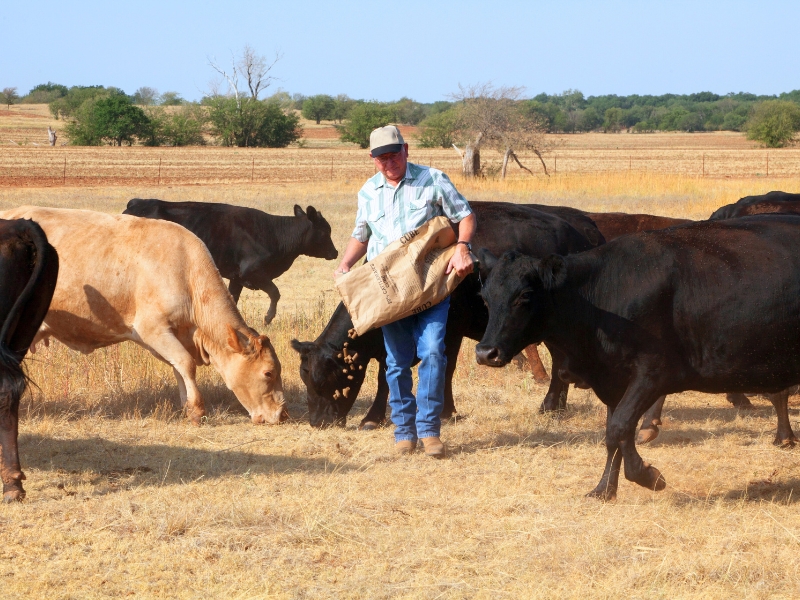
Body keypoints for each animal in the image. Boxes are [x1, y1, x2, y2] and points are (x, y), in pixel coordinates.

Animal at [0, 209, 286, 424]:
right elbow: (186, 364)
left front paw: (187, 406)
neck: (186, 272)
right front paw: (197, 410)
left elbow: (178, 367)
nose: (283, 414)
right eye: (268, 373)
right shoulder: (153, 329)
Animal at [122, 200, 338, 324]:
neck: (274, 233)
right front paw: (268, 318)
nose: (335, 252)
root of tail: (135, 204)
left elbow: (233, 299)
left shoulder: (237, 278)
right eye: (325, 231)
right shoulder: (253, 272)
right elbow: (275, 293)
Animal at [290, 204, 604, 428]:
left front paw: (443, 411)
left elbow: (443, 370)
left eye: (324, 381)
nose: (317, 423)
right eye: (305, 380)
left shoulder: (450, 331)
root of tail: (585, 230)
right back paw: (556, 406)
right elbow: (388, 375)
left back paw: (550, 405)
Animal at [478, 213, 800, 500]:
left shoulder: (652, 374)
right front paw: (604, 489)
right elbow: (613, 435)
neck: (603, 297)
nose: (485, 352)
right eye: (485, 297)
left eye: (524, 296)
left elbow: (619, 428)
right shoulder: (614, 380)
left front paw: (648, 476)